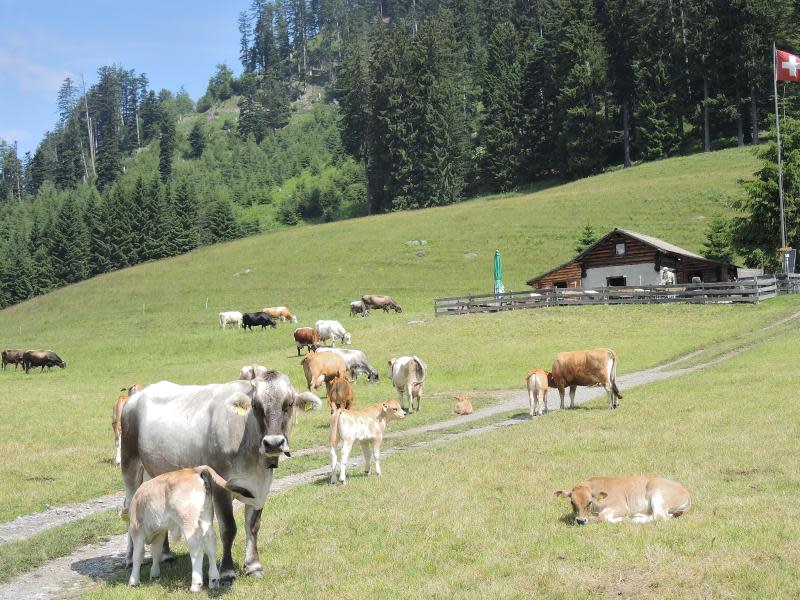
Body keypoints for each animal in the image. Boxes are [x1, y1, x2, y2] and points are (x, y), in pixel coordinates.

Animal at [126, 464, 252, 592]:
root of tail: (194, 470)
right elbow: (156, 552)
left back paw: (196, 585)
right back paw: (213, 580)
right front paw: (154, 575)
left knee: (196, 547)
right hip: (205, 515)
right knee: (210, 542)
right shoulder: (160, 532)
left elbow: (138, 555)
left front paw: (133, 581)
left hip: (188, 520)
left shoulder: (137, 530)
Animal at [552, 478, 692, 524]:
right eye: (572, 502)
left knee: (660, 517)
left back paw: (635, 519)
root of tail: (686, 491)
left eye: (589, 502)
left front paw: (620, 519)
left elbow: (603, 516)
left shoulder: (621, 507)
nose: (581, 521)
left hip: (657, 493)